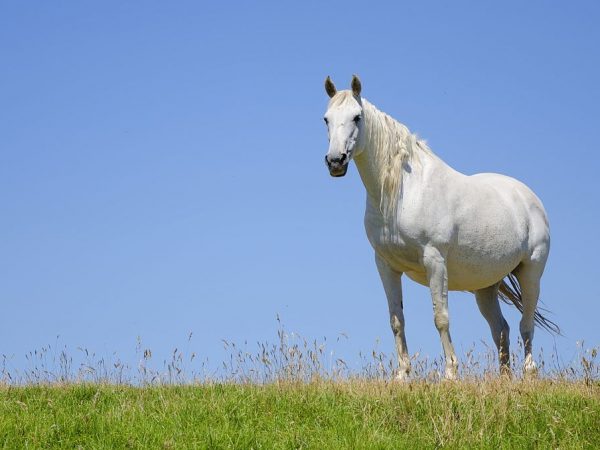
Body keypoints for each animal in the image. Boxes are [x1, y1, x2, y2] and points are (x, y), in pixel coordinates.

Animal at [324, 75, 556, 378]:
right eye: (326, 119)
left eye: (357, 117)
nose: (335, 162)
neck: (404, 190)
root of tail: (529, 198)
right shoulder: (385, 265)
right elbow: (397, 320)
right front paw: (402, 375)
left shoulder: (434, 260)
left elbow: (441, 318)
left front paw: (450, 374)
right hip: (486, 287)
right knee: (501, 329)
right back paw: (504, 378)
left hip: (531, 272)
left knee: (525, 325)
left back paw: (529, 374)